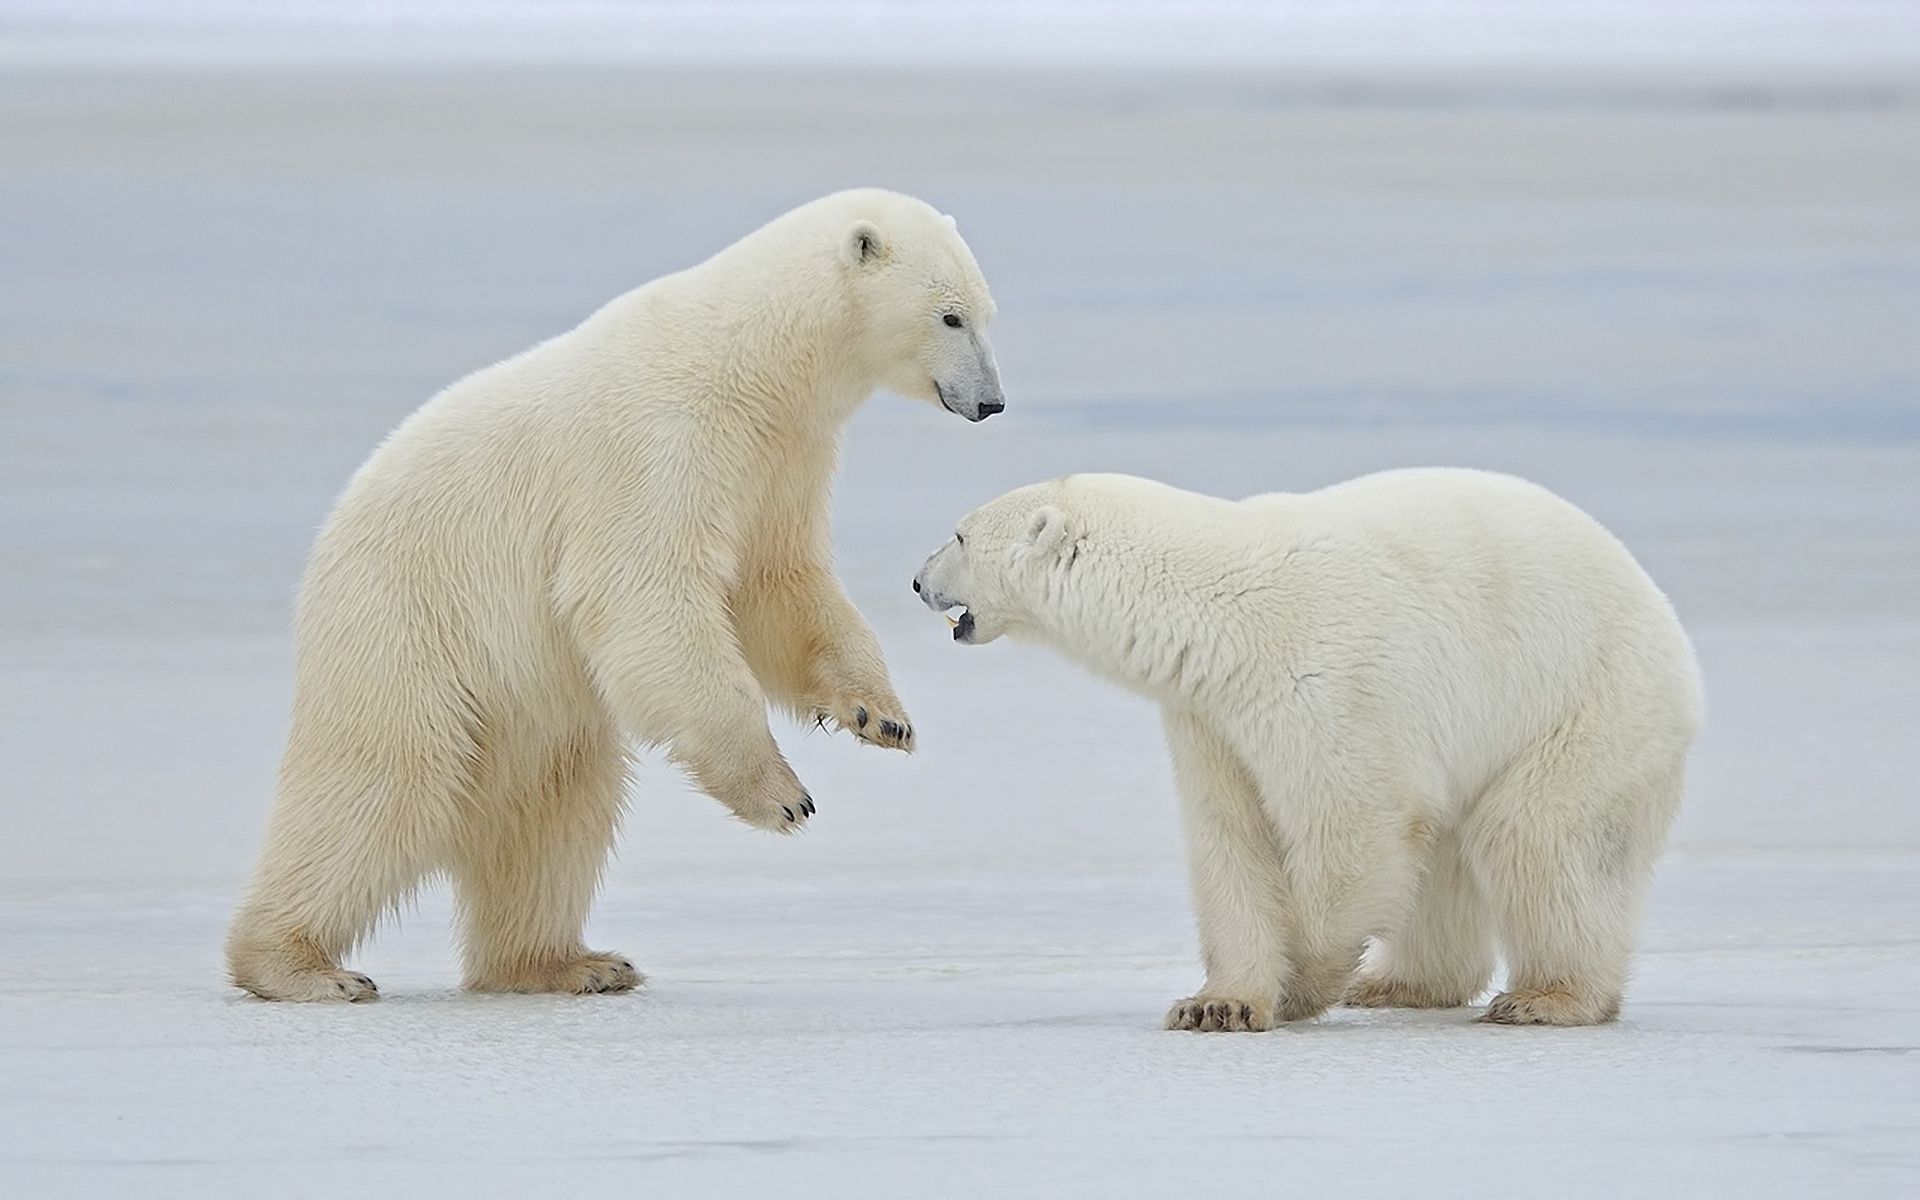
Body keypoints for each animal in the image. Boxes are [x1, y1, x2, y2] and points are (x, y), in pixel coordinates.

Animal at [230, 187, 1006, 998]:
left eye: (987, 312)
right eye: (951, 316)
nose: (992, 402)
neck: (749, 365)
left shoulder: (780, 460)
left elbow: (777, 587)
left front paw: (879, 715)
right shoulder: (657, 449)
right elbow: (646, 594)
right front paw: (783, 795)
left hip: (525, 705)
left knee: (555, 812)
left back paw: (570, 962)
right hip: (410, 625)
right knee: (385, 784)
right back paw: (301, 965)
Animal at [910, 470, 1697, 1029]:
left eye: (958, 535)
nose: (916, 581)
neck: (1213, 608)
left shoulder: (1327, 684)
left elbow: (1350, 828)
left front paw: (1301, 983)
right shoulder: (1208, 715)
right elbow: (1231, 838)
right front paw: (1216, 1004)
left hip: (1584, 704)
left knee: (1540, 840)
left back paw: (1547, 997)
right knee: (1448, 855)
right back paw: (1399, 983)